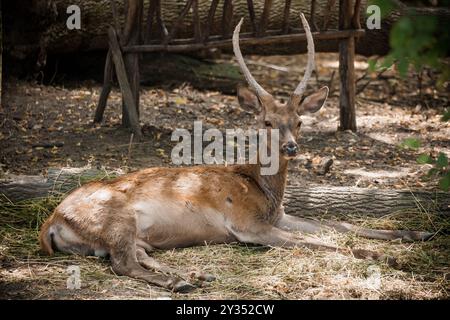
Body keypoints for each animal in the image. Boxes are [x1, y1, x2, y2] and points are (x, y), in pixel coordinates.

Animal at [39, 15, 432, 296]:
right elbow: (312, 242)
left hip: (129, 234)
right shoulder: (247, 225)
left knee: (139, 255)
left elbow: (340, 226)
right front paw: (388, 258)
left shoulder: (279, 216)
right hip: (115, 219)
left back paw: (194, 275)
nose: (291, 146)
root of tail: (52, 221)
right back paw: (180, 282)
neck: (261, 188)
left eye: (299, 121)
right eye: (267, 121)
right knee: (122, 263)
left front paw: (417, 235)